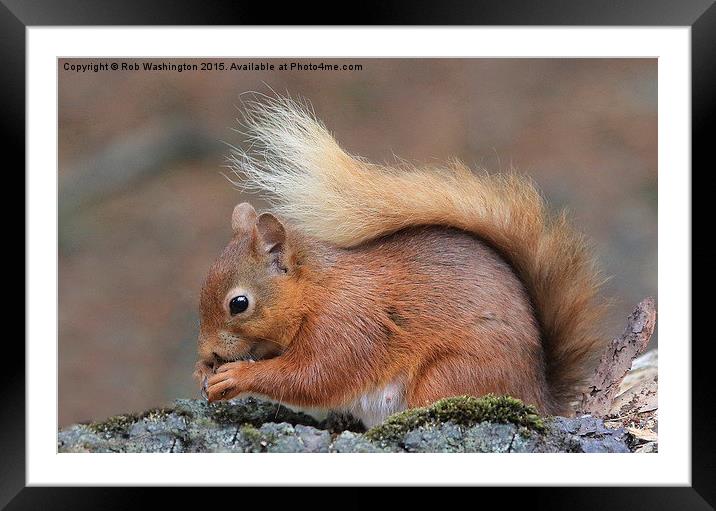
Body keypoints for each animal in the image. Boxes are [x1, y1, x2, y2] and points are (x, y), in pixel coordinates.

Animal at [193, 96, 608, 428]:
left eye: (239, 304)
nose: (207, 353)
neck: (317, 290)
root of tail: (539, 396)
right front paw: (203, 372)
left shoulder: (347, 325)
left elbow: (313, 377)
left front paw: (236, 377)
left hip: (452, 373)